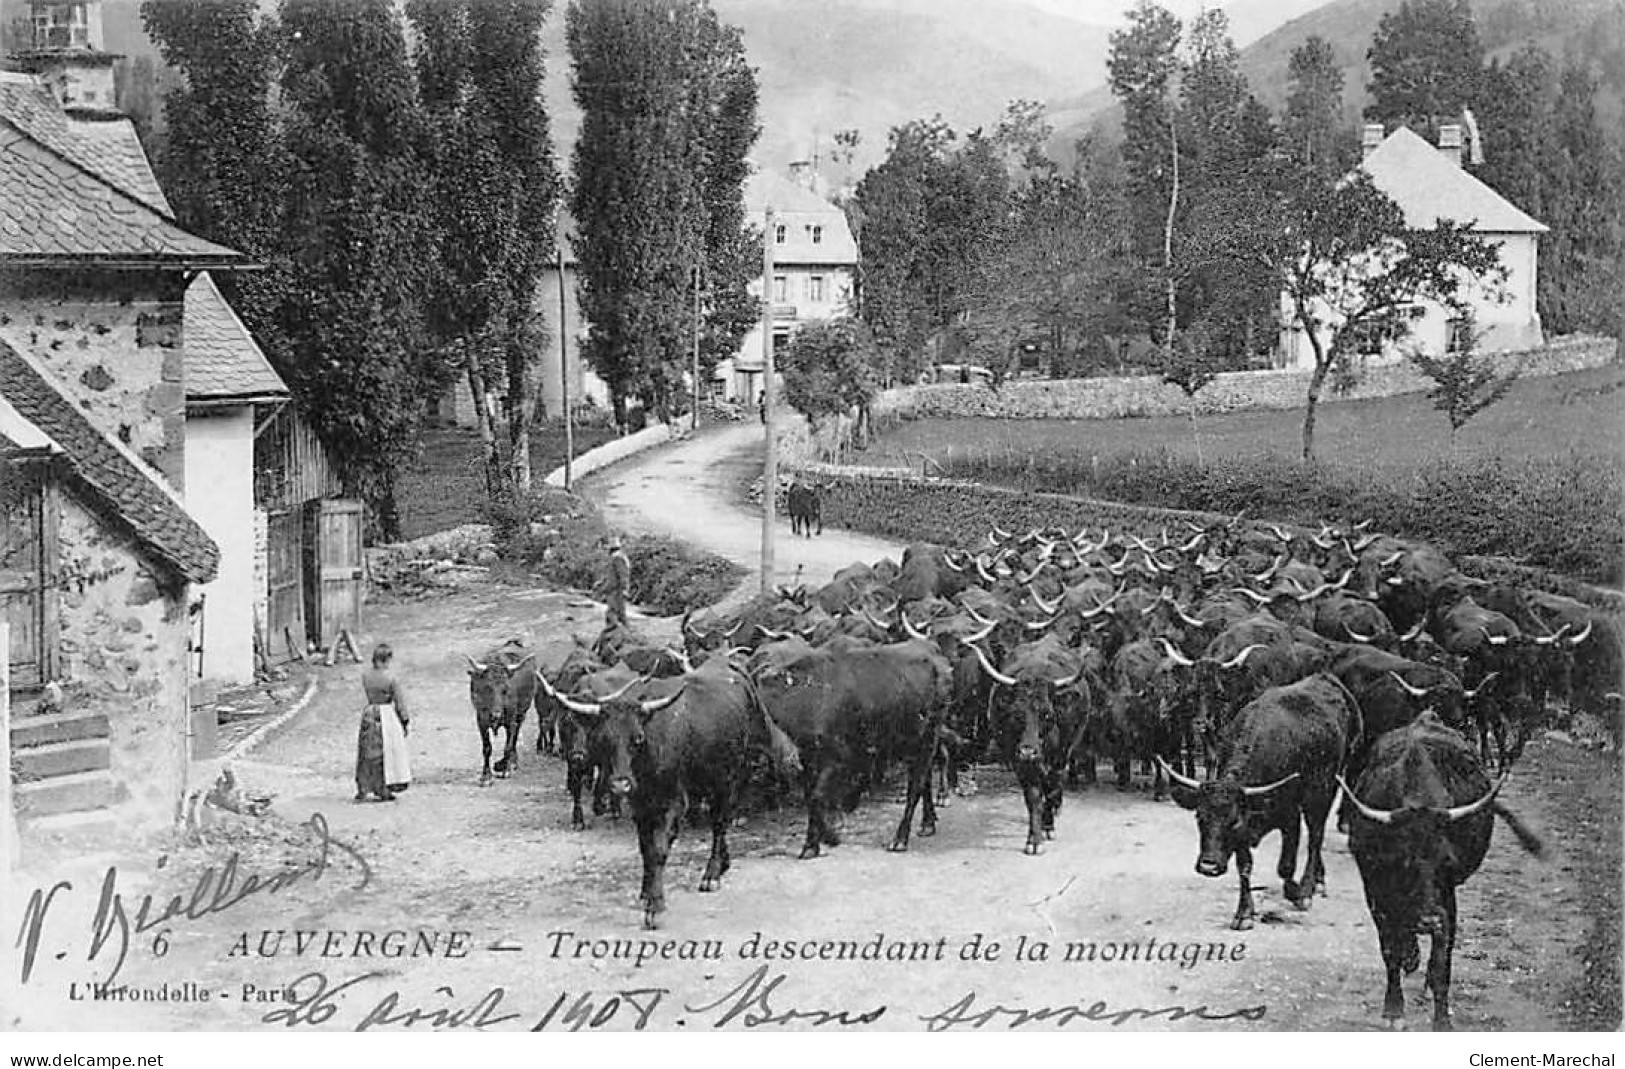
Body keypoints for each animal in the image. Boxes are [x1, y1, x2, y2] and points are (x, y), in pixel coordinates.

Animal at [468, 640, 542, 783]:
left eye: (505, 689)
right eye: (488, 687)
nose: (496, 715)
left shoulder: (511, 721)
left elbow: (508, 746)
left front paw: (506, 770)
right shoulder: (481, 721)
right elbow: (487, 748)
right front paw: (486, 776)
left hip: (521, 714)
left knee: (515, 737)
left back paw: (510, 763)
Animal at [588, 656, 802, 922]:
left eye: (637, 738)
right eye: (604, 739)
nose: (620, 783)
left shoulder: (674, 802)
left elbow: (659, 849)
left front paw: (655, 906)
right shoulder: (640, 805)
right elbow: (645, 847)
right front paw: (646, 892)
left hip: (729, 777)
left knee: (720, 823)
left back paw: (712, 875)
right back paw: (723, 863)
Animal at [1163, 675, 1365, 922]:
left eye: (1233, 821)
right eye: (1200, 818)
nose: (1208, 867)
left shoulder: (1289, 815)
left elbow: (1285, 866)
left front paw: (1296, 892)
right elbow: (1244, 866)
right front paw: (1244, 913)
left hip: (1324, 790)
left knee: (1315, 838)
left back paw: (1309, 888)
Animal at [1339, 711, 1540, 1026]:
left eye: (1447, 861)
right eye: (1404, 861)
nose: (1429, 921)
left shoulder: (1447, 898)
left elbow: (1440, 962)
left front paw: (1442, 1019)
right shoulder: (1374, 888)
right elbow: (1390, 949)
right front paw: (1394, 1008)